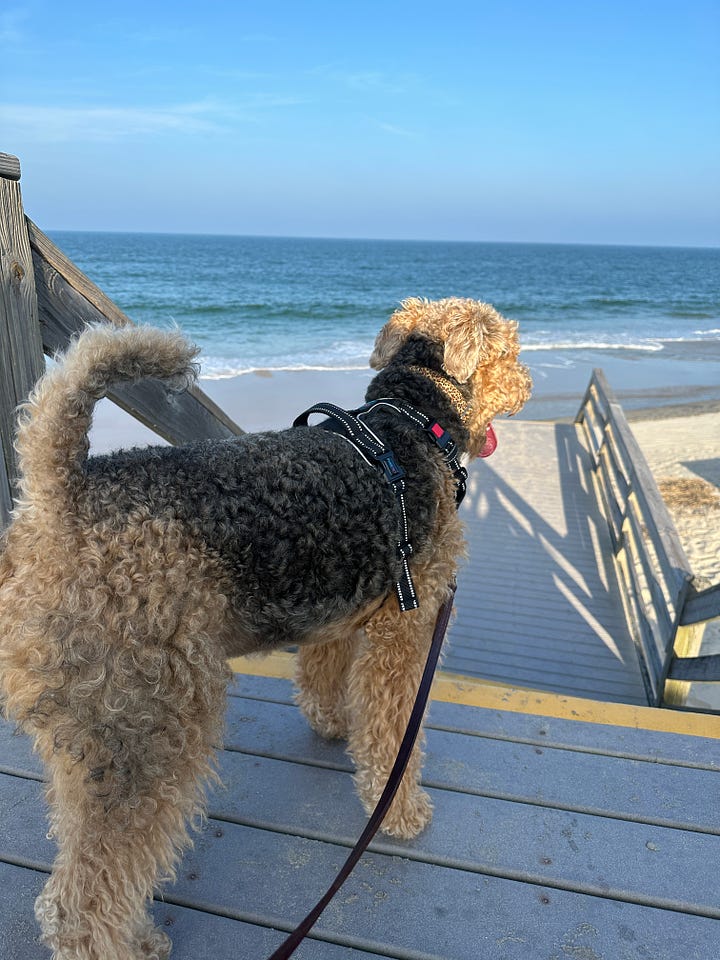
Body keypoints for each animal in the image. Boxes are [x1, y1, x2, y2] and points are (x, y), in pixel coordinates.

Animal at [0, 296, 528, 956]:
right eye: (508, 348)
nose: (527, 386)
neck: (410, 422)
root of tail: (54, 498)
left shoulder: (338, 617)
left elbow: (324, 679)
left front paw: (332, 725)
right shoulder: (407, 631)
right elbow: (395, 735)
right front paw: (401, 811)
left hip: (87, 737)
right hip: (145, 724)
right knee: (84, 898)